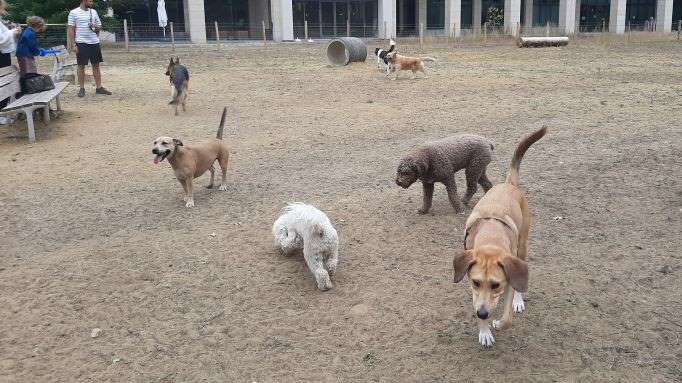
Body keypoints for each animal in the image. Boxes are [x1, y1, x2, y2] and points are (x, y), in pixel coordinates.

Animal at [452, 127, 548, 350]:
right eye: (476, 282)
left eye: (496, 285)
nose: (482, 314)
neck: (491, 237)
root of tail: (507, 183)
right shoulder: (474, 289)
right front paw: (484, 331)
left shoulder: (509, 278)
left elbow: (507, 320)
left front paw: (496, 322)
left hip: (522, 246)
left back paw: (519, 300)